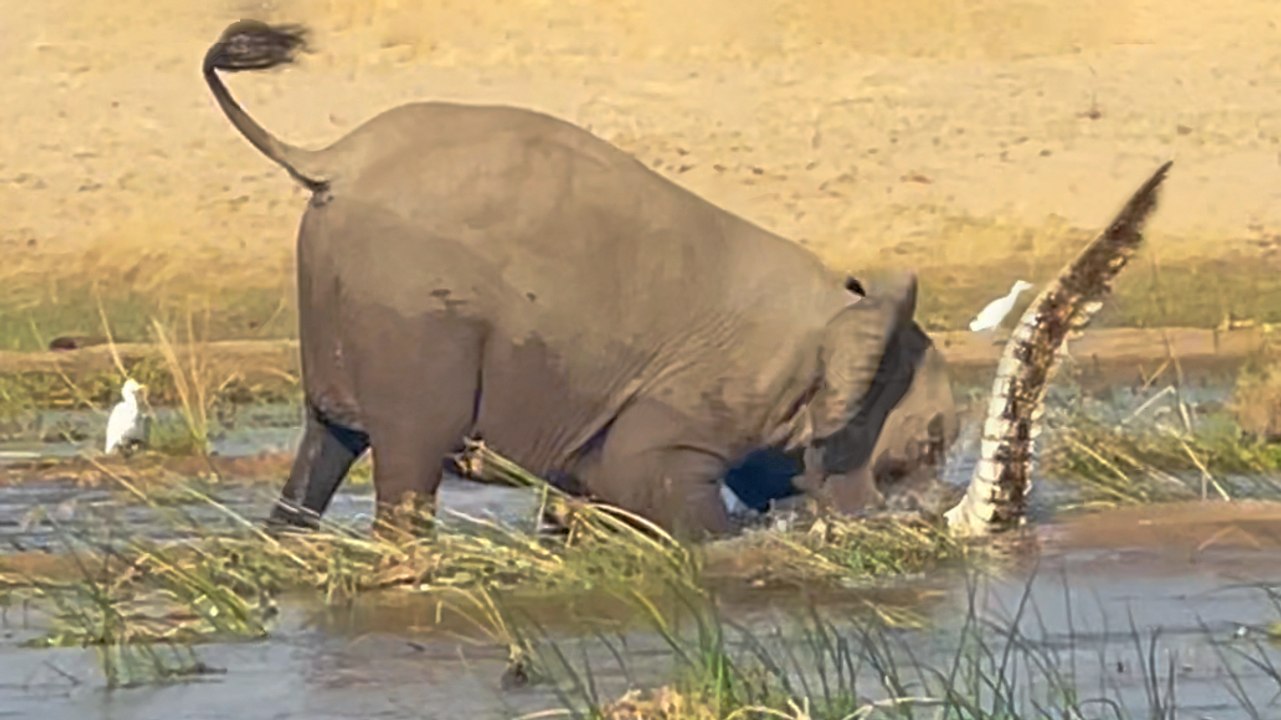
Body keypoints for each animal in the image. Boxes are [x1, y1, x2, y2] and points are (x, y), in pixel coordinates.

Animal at [201, 21, 960, 539]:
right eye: (922, 450)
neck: (839, 313)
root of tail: (330, 158)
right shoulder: (702, 395)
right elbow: (644, 476)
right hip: (415, 314)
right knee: (407, 459)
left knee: (324, 444)